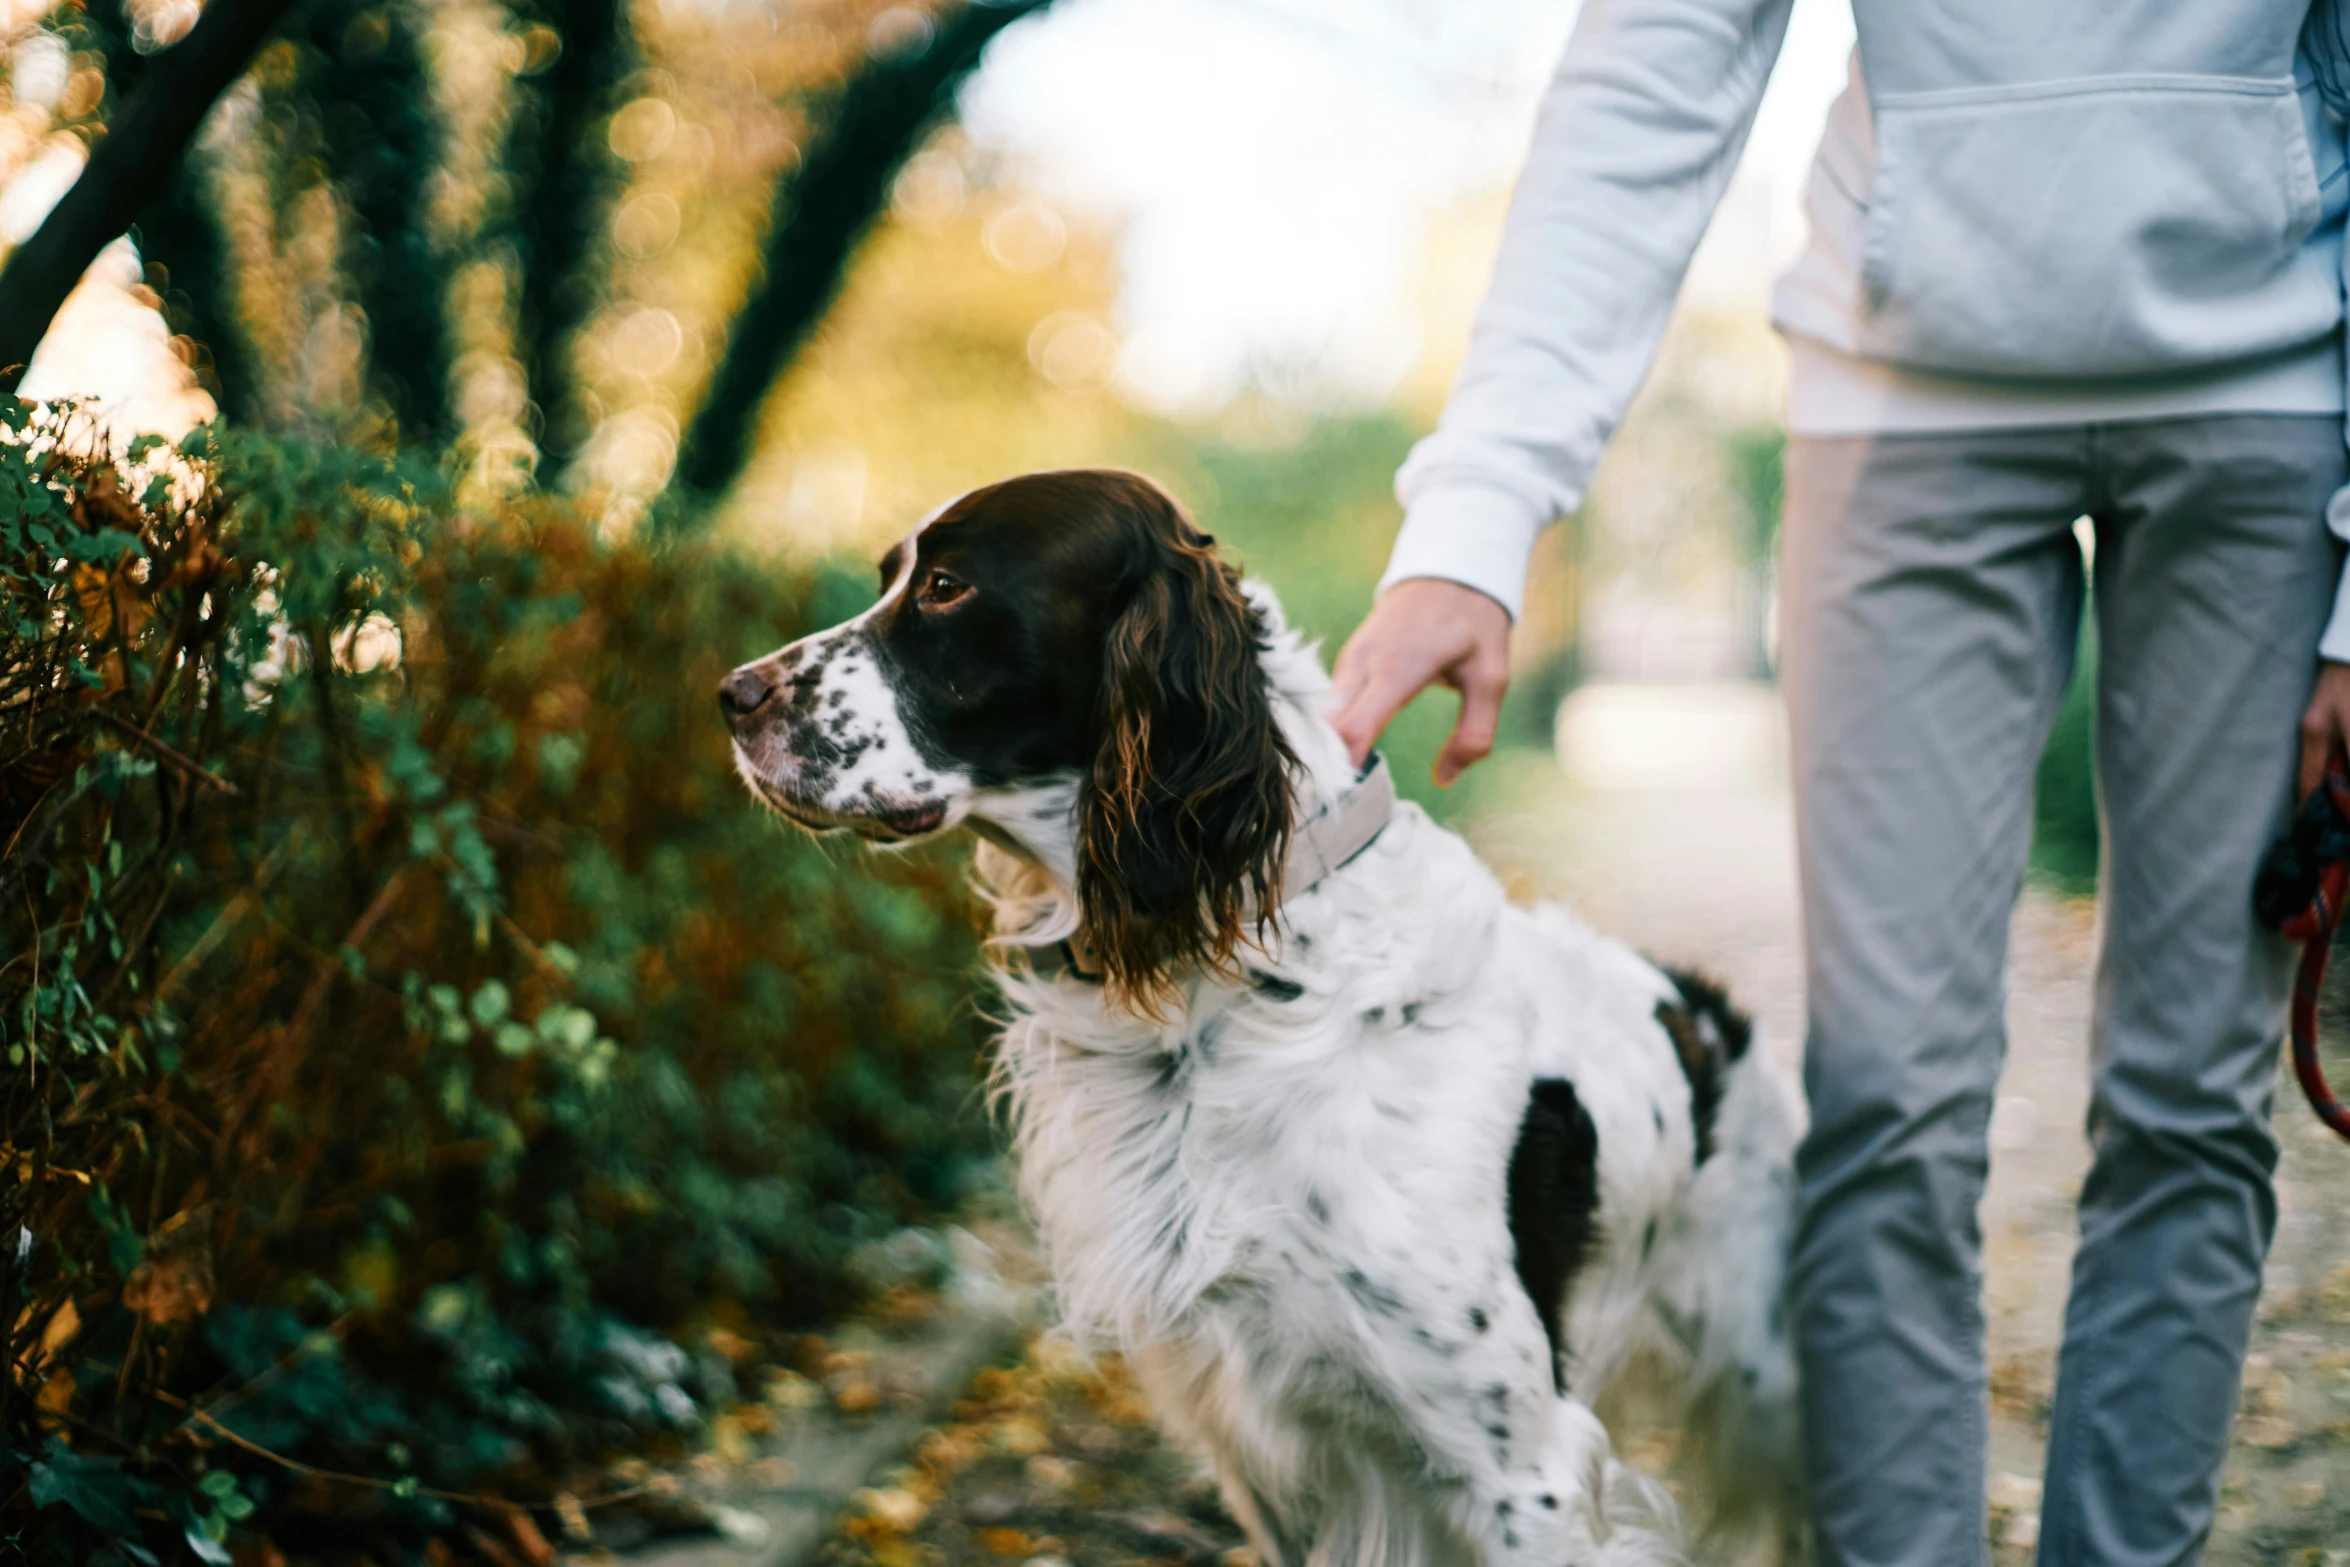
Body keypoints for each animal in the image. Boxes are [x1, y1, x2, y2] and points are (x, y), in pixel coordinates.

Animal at [723, 472, 1804, 1559]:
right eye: (888, 578)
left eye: (946, 587)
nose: (732, 694)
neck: (1224, 986)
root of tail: (1720, 1017)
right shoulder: (1269, 1454)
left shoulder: (1520, 1470)